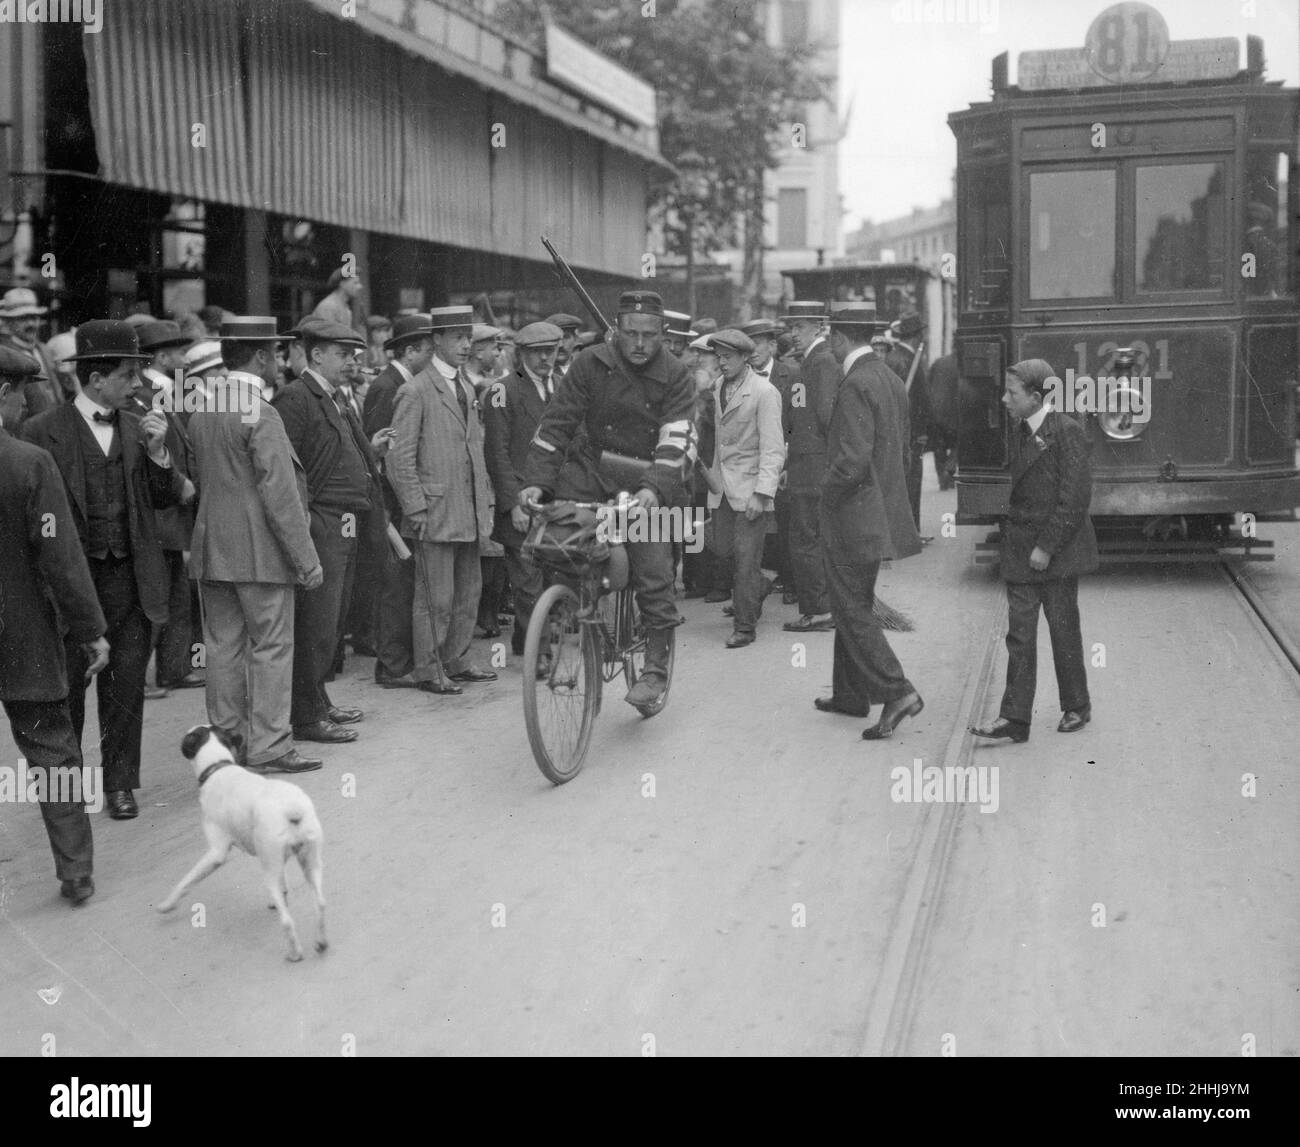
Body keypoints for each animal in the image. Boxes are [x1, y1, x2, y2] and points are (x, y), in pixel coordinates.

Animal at [156, 723, 325, 957]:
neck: (218, 766)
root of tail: (290, 809)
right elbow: (283, 886)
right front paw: (279, 898)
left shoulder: (216, 853)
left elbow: (186, 881)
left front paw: (168, 904)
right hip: (311, 863)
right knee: (320, 904)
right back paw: (320, 942)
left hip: (270, 869)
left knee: (286, 921)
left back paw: (294, 953)